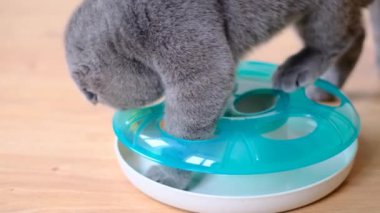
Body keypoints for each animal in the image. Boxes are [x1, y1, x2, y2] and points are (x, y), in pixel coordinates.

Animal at [65, 0, 380, 190]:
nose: (91, 97)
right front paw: (230, 101)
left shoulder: (185, 43)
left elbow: (187, 125)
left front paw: (169, 174)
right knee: (357, 36)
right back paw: (322, 88)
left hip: (325, 9)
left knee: (339, 37)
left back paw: (298, 70)